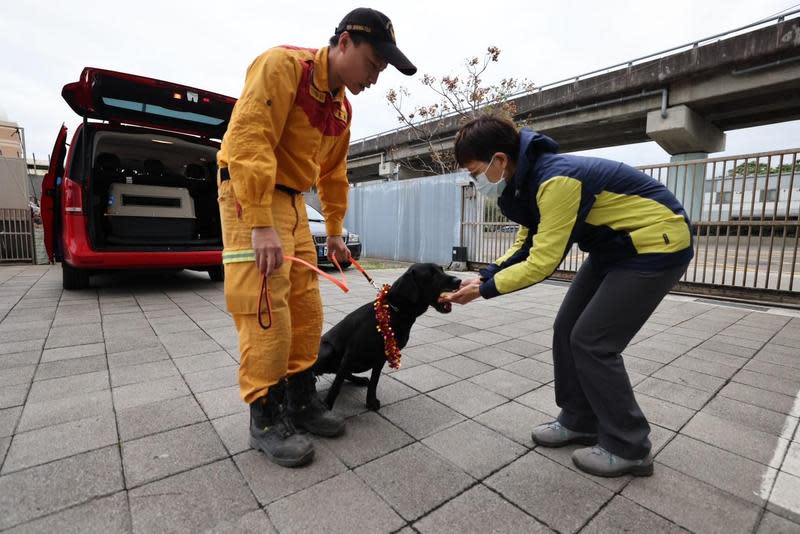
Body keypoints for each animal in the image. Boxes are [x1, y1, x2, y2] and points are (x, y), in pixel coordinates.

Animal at [314, 264, 462, 410]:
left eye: (442, 269)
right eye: (431, 274)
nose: (459, 281)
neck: (393, 311)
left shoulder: (381, 358)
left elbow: (374, 381)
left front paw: (371, 402)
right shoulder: (350, 355)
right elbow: (336, 386)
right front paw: (327, 406)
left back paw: (359, 380)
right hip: (326, 349)